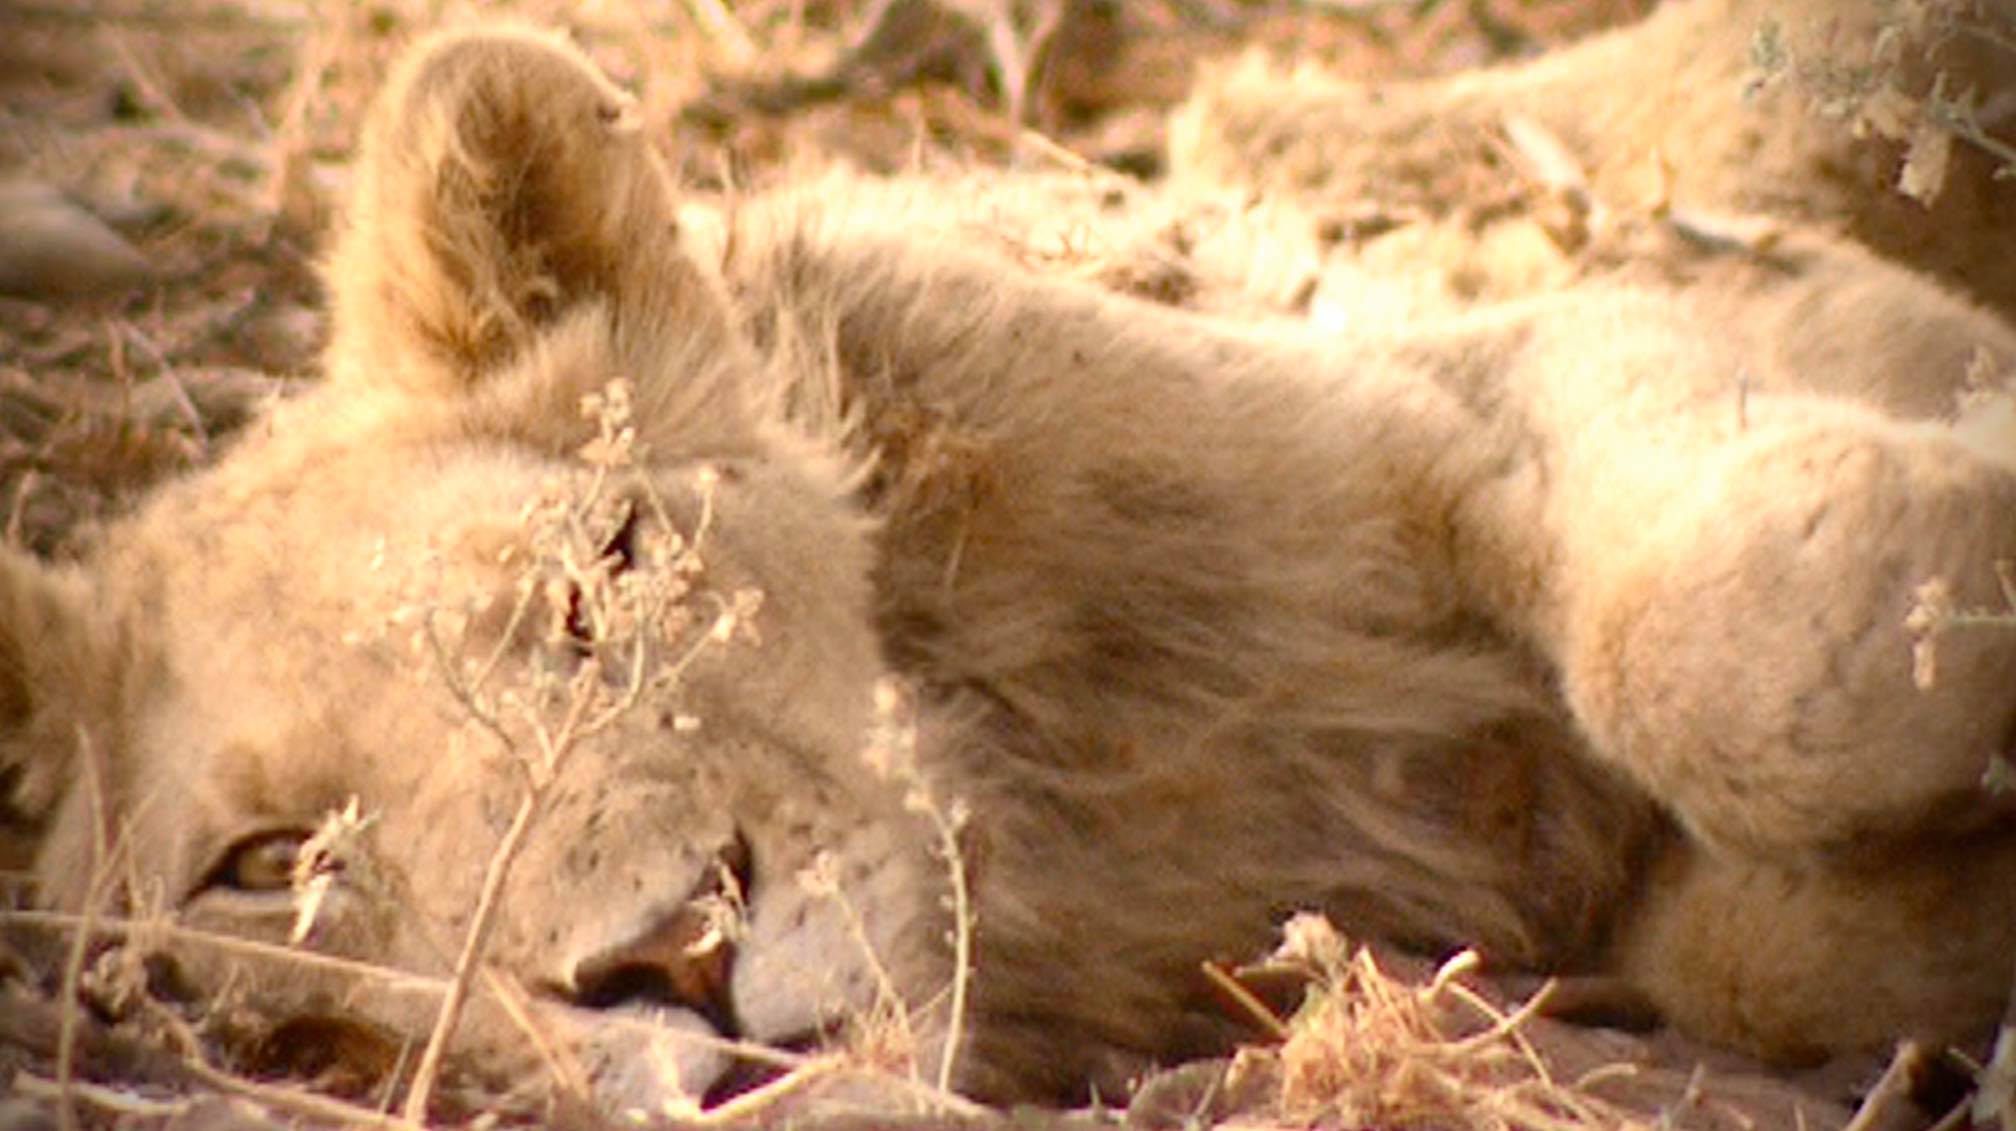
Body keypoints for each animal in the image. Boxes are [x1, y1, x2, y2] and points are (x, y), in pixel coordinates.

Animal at [3, 16, 2015, 1121]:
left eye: (608, 575)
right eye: (274, 870)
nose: (674, 955)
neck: (1056, 802)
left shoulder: (1565, 324)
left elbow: (1741, 644)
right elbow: (1742, 933)